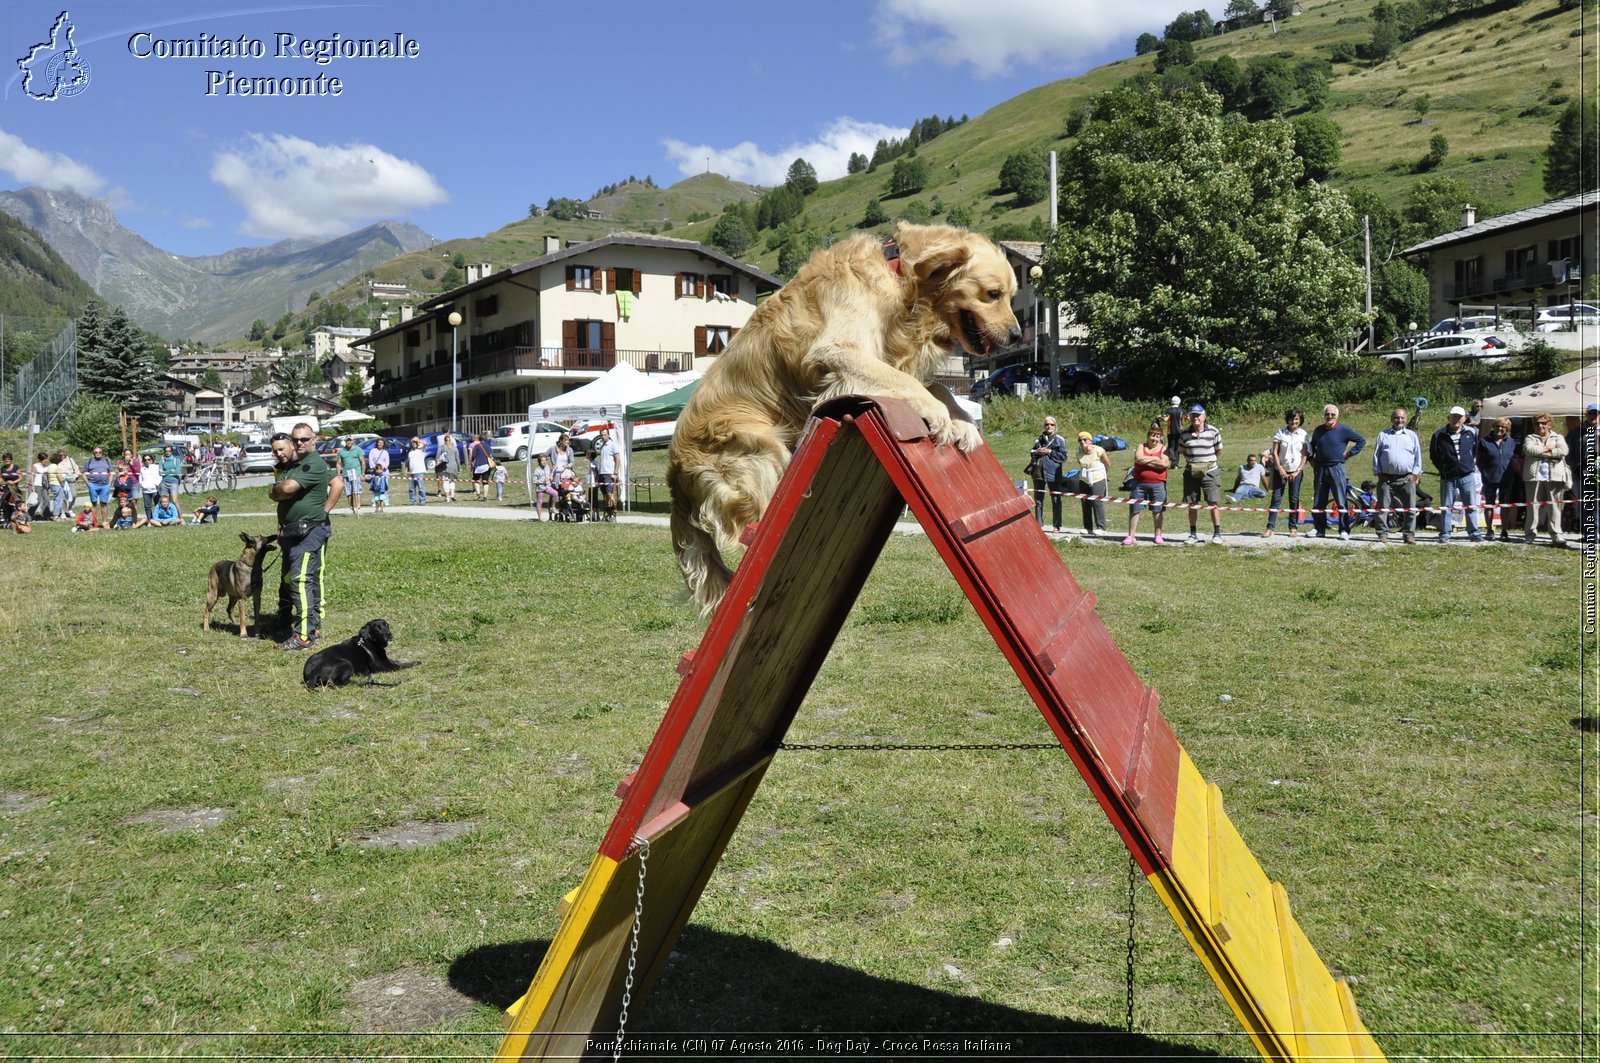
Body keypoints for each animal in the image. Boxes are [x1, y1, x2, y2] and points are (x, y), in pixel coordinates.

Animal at [668, 224, 1017, 617]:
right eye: (993, 294)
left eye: (1010, 296)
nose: (1017, 335)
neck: (900, 276)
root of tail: (674, 473)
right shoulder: (838, 352)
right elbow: (909, 382)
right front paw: (943, 419)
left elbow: (936, 384)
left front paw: (964, 422)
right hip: (758, 445)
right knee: (742, 527)